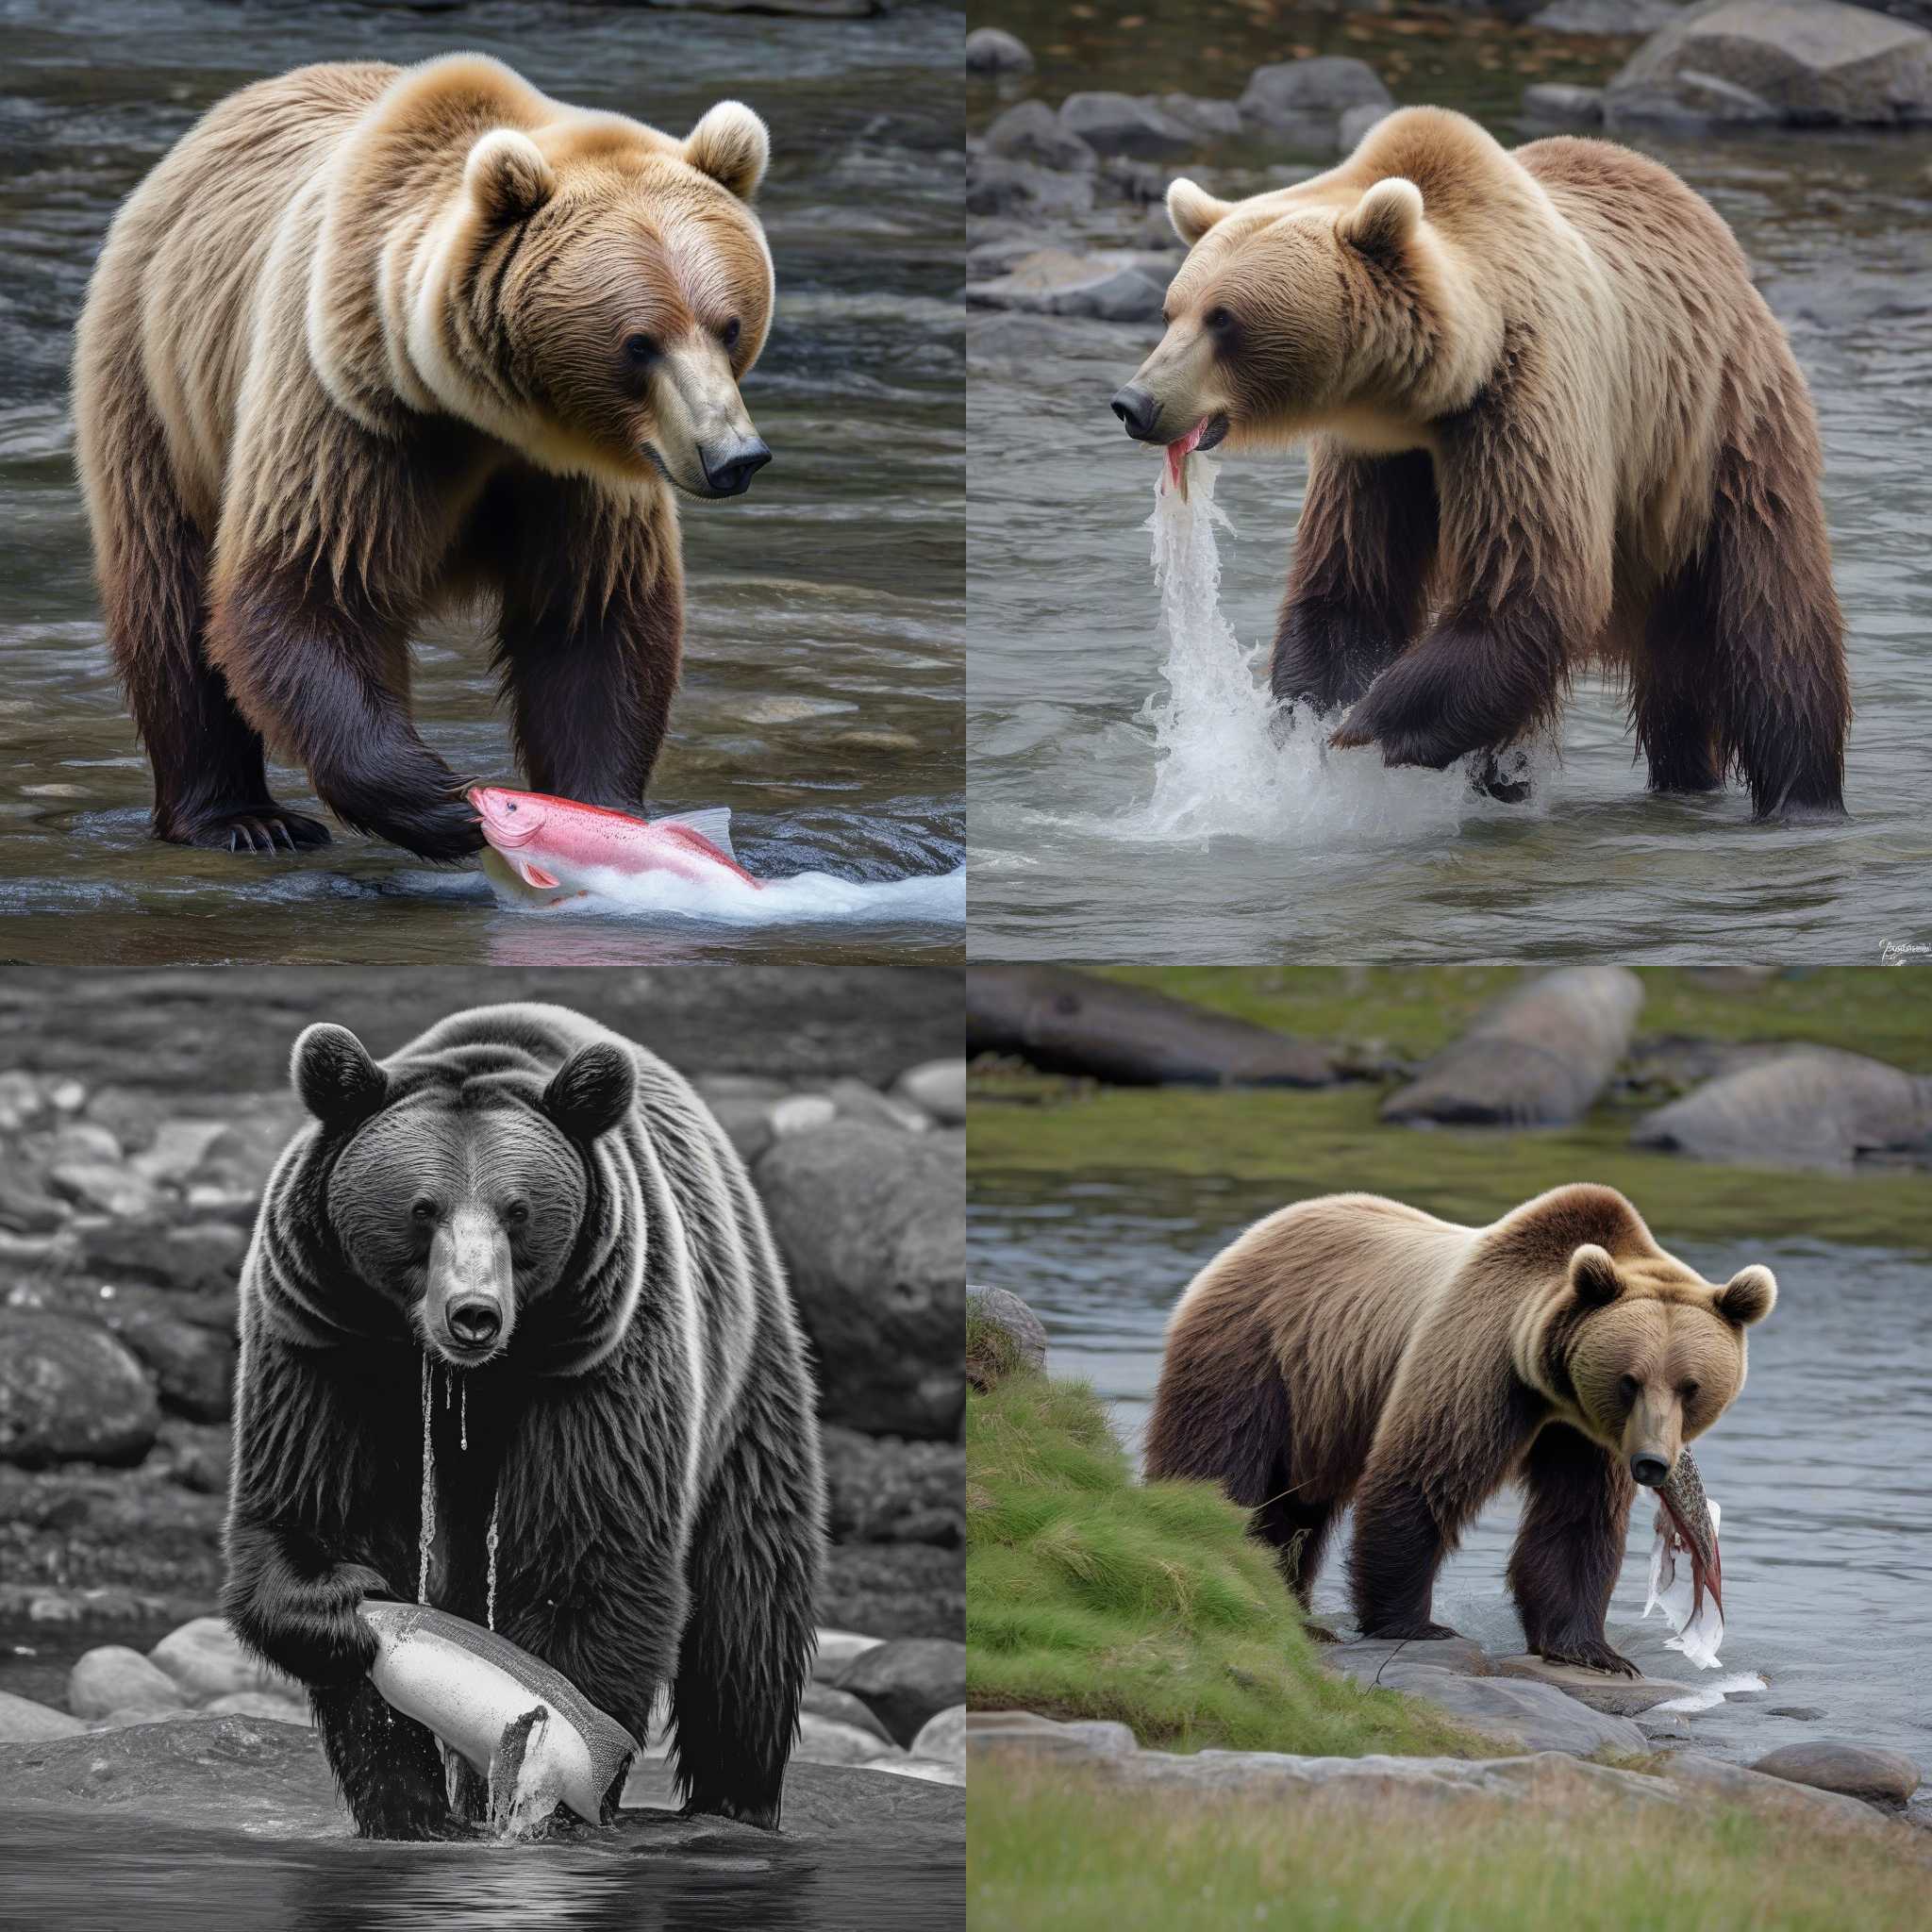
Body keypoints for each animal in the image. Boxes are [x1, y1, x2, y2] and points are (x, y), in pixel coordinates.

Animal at [70, 56, 776, 858]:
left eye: (729, 324)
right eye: (638, 342)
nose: (734, 456)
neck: (482, 413)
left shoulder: (583, 476)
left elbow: (592, 616)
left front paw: (603, 811)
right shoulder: (351, 415)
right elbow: (308, 587)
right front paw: (446, 801)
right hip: (156, 383)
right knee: (168, 593)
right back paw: (242, 817)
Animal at [221, 1004, 823, 1831]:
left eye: (519, 1212)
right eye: (422, 1209)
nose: (473, 1313)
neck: (465, 1377)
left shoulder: (601, 1359)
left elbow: (589, 1559)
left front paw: (558, 1785)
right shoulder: (324, 1339)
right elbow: (315, 1513)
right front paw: (406, 1801)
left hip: (747, 1373)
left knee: (750, 1606)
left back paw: (735, 1797)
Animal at [1112, 108, 1846, 815]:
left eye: (1224, 318)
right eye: (1171, 310)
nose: (1135, 402)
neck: (1431, 388)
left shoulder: (1522, 400)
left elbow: (1528, 584)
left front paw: (1361, 729)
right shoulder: (1375, 455)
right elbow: (1350, 584)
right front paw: (1303, 721)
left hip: (1720, 438)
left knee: (1774, 632)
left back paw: (1802, 797)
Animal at [1143, 1182, 1777, 1669]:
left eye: (1690, 1386)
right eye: (1630, 1380)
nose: (1652, 1463)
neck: (1547, 1385)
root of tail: (1254, 1232)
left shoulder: (1584, 1435)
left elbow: (1575, 1521)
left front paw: (1592, 1650)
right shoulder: (1478, 1363)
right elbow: (1422, 1479)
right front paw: (1412, 1624)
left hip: (1320, 1404)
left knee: (1297, 1507)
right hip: (1255, 1352)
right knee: (1220, 1465)